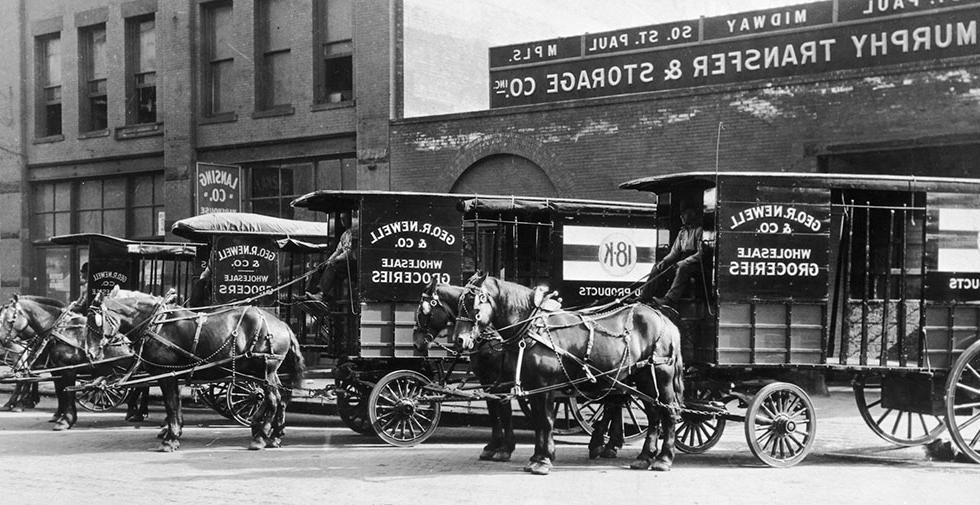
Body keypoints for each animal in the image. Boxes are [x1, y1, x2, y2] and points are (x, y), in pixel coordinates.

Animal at [93, 286, 306, 450]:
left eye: (94, 321)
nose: (92, 353)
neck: (156, 324)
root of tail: (283, 325)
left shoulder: (165, 373)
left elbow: (171, 404)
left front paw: (170, 439)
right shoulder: (173, 373)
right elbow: (175, 404)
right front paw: (172, 432)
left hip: (263, 370)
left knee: (272, 399)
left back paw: (261, 435)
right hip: (264, 372)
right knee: (281, 398)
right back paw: (272, 433)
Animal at [450, 272, 680, 472]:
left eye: (472, 302)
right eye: (460, 303)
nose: (460, 339)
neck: (534, 329)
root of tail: (663, 318)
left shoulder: (544, 386)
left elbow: (545, 421)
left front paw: (542, 460)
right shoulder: (532, 385)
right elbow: (538, 421)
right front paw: (537, 456)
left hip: (661, 377)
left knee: (668, 413)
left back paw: (663, 458)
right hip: (641, 379)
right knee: (652, 415)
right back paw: (644, 457)